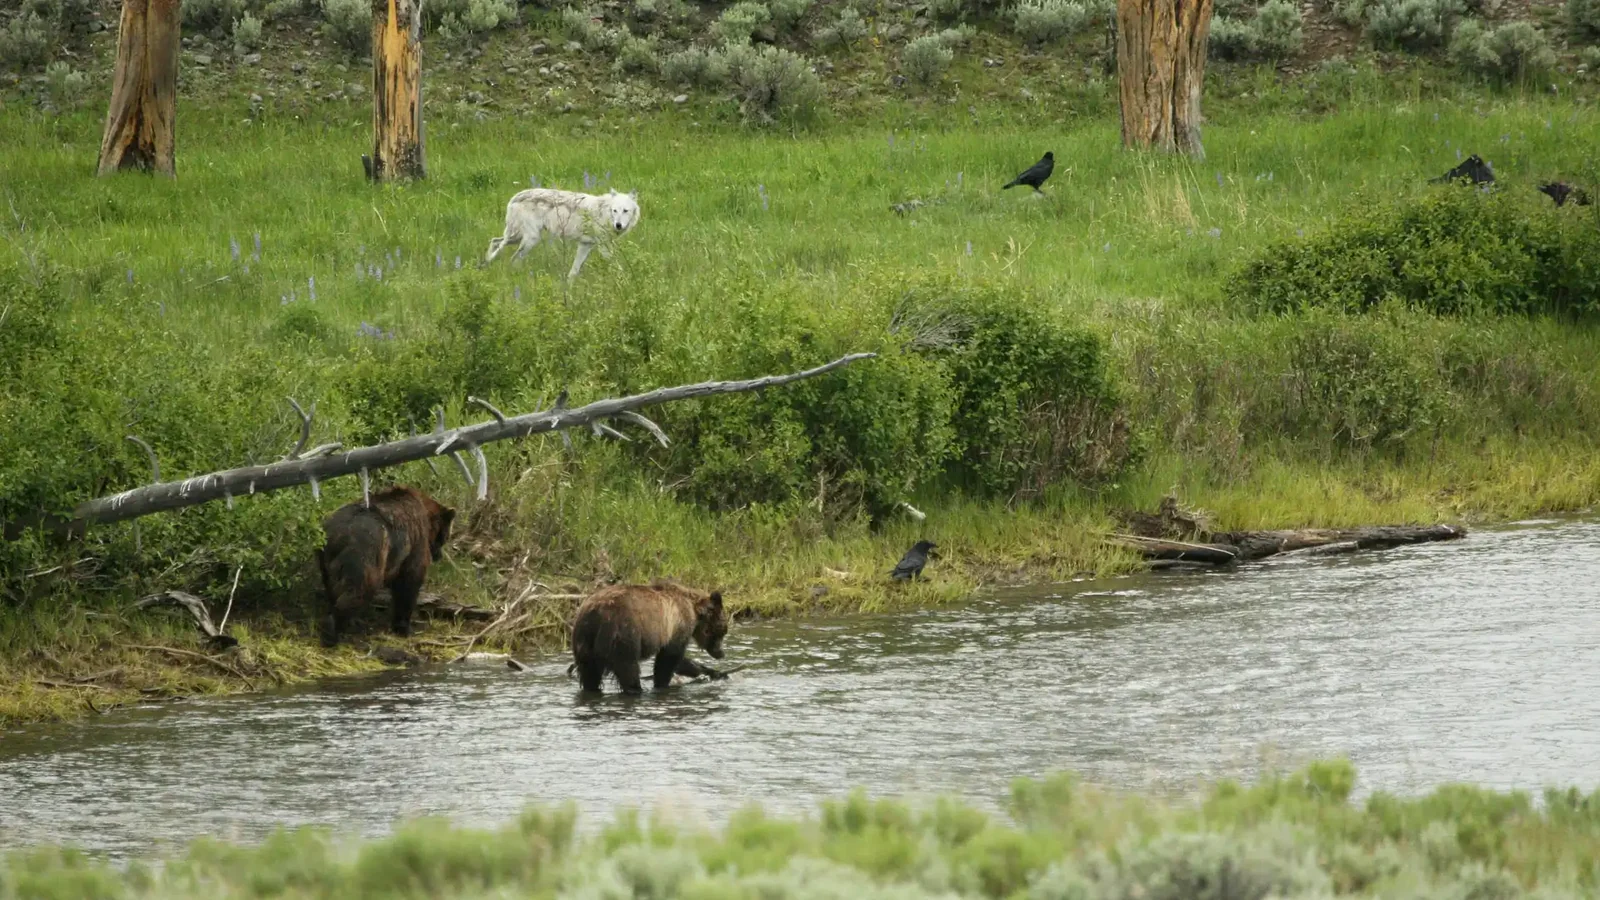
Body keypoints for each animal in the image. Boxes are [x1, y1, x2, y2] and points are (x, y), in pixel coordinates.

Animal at [483, 187, 641, 280]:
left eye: (625, 211)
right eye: (615, 211)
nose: (618, 225)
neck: (604, 212)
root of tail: (516, 196)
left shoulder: (585, 244)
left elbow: (574, 270)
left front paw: (569, 287)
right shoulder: (603, 246)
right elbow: (617, 266)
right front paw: (627, 279)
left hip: (517, 238)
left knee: (494, 241)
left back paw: (485, 263)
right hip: (529, 239)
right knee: (512, 258)